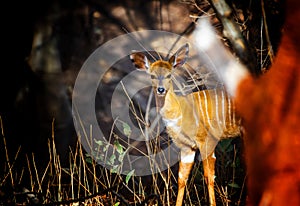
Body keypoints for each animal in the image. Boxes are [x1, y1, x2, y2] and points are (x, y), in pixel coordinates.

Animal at [131, 43, 241, 206]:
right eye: (152, 75)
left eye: (169, 75)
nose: (161, 90)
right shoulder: (187, 147)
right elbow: (182, 178)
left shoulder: (207, 141)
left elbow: (209, 177)